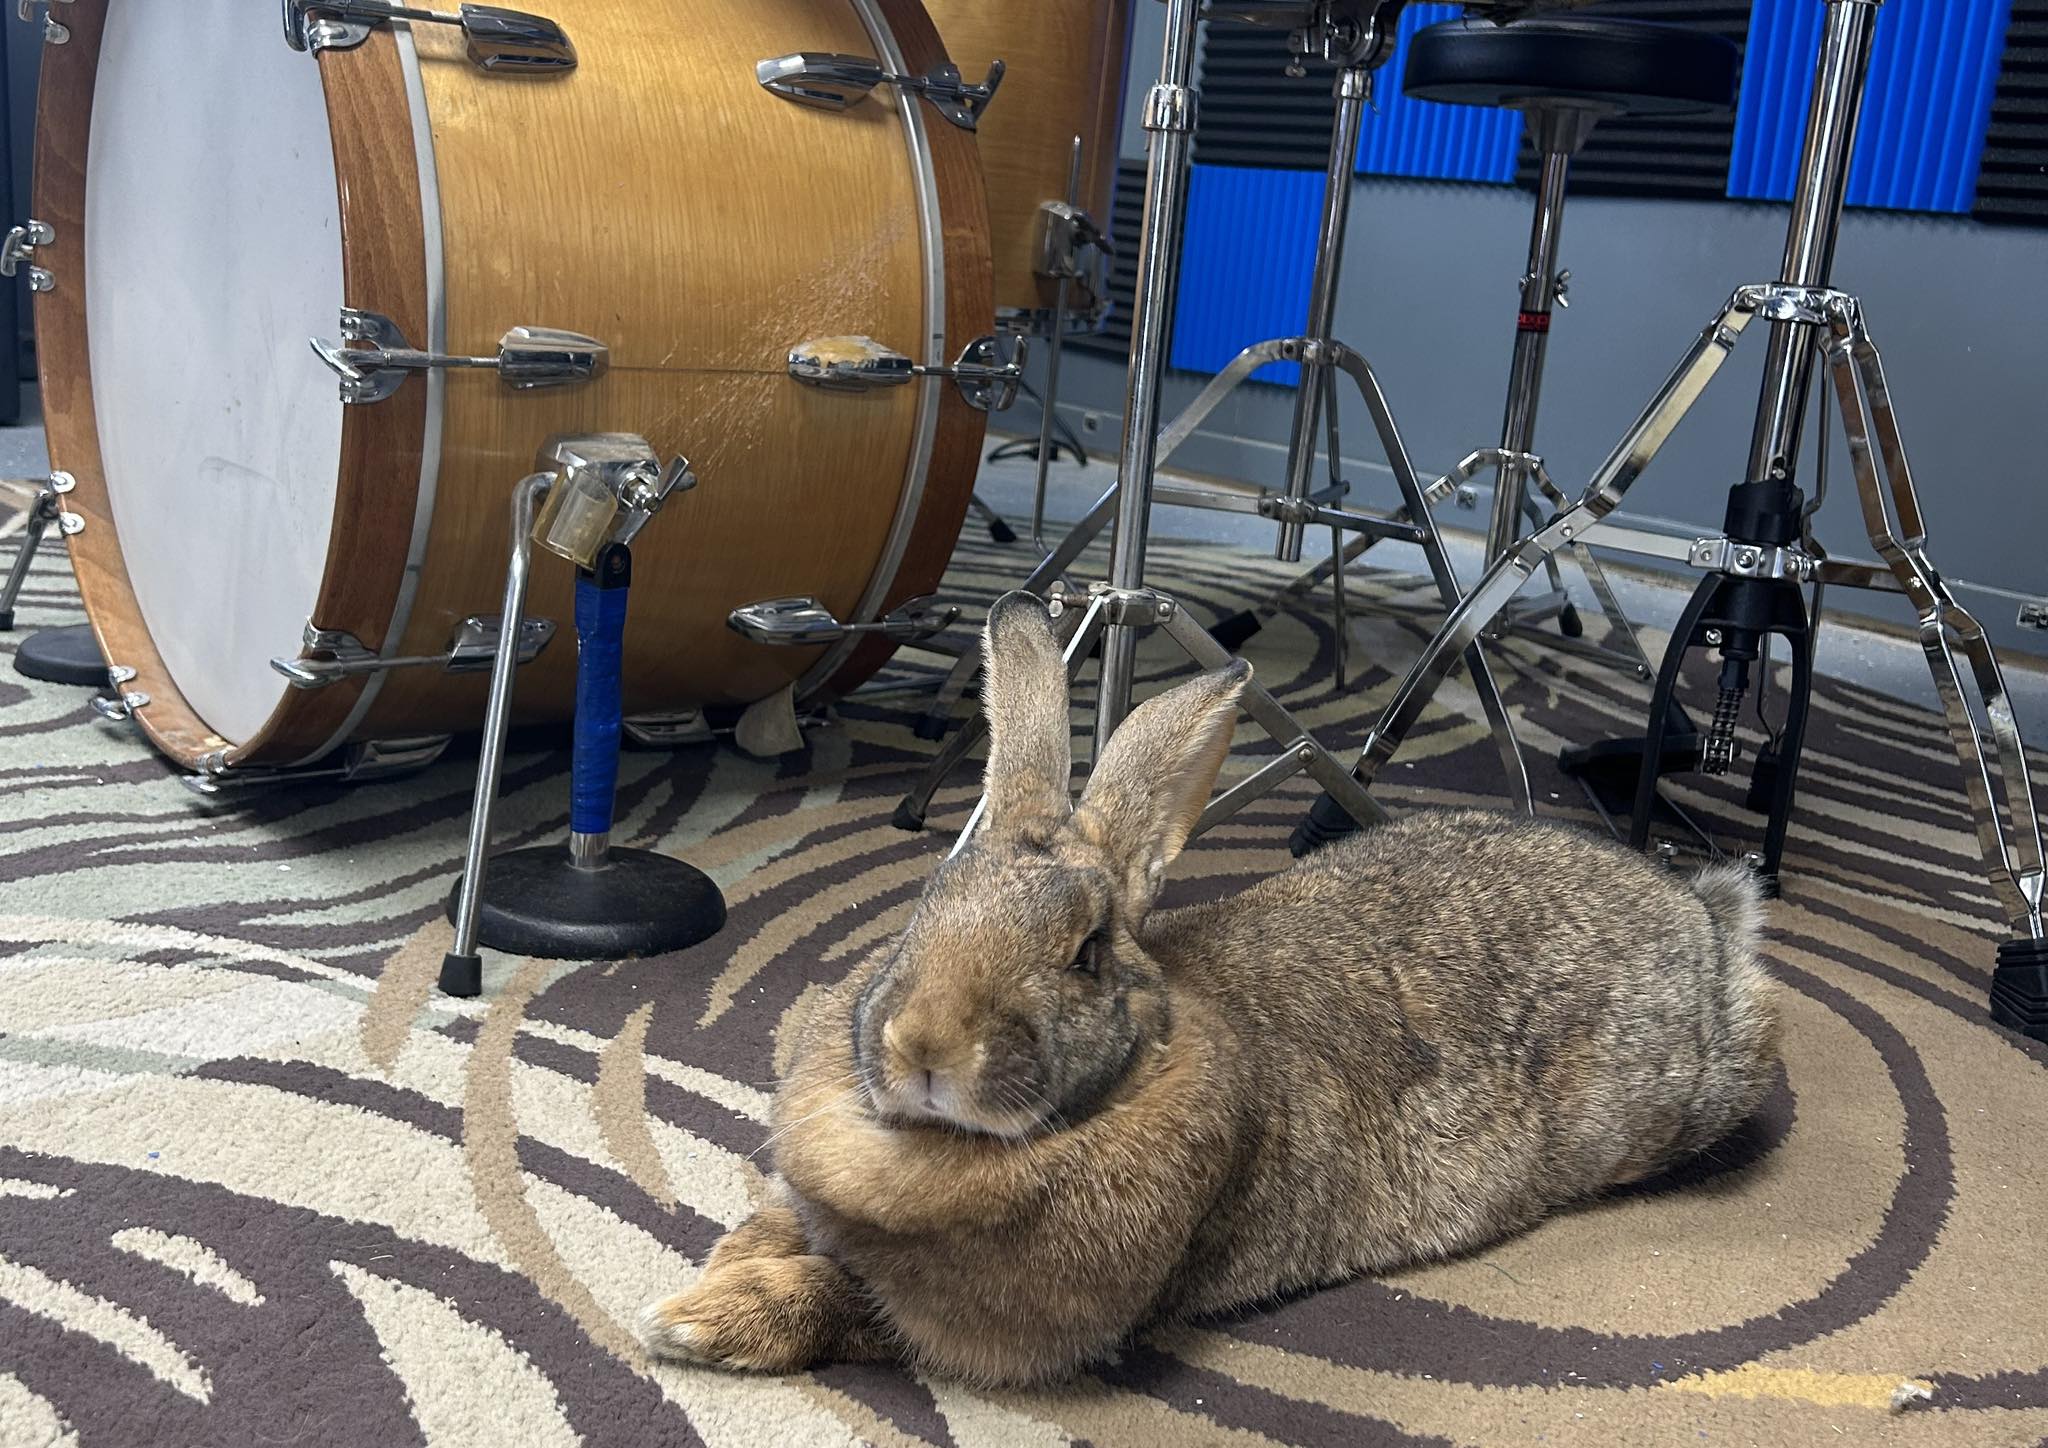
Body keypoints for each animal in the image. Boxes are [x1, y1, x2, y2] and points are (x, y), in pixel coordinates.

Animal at [637, 591, 1781, 1388]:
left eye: (1087, 952)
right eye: (927, 902)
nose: (923, 1047)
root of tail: (1704, 920)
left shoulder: (1007, 1321)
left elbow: (849, 1304)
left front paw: (694, 1321)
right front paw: (719, 1267)